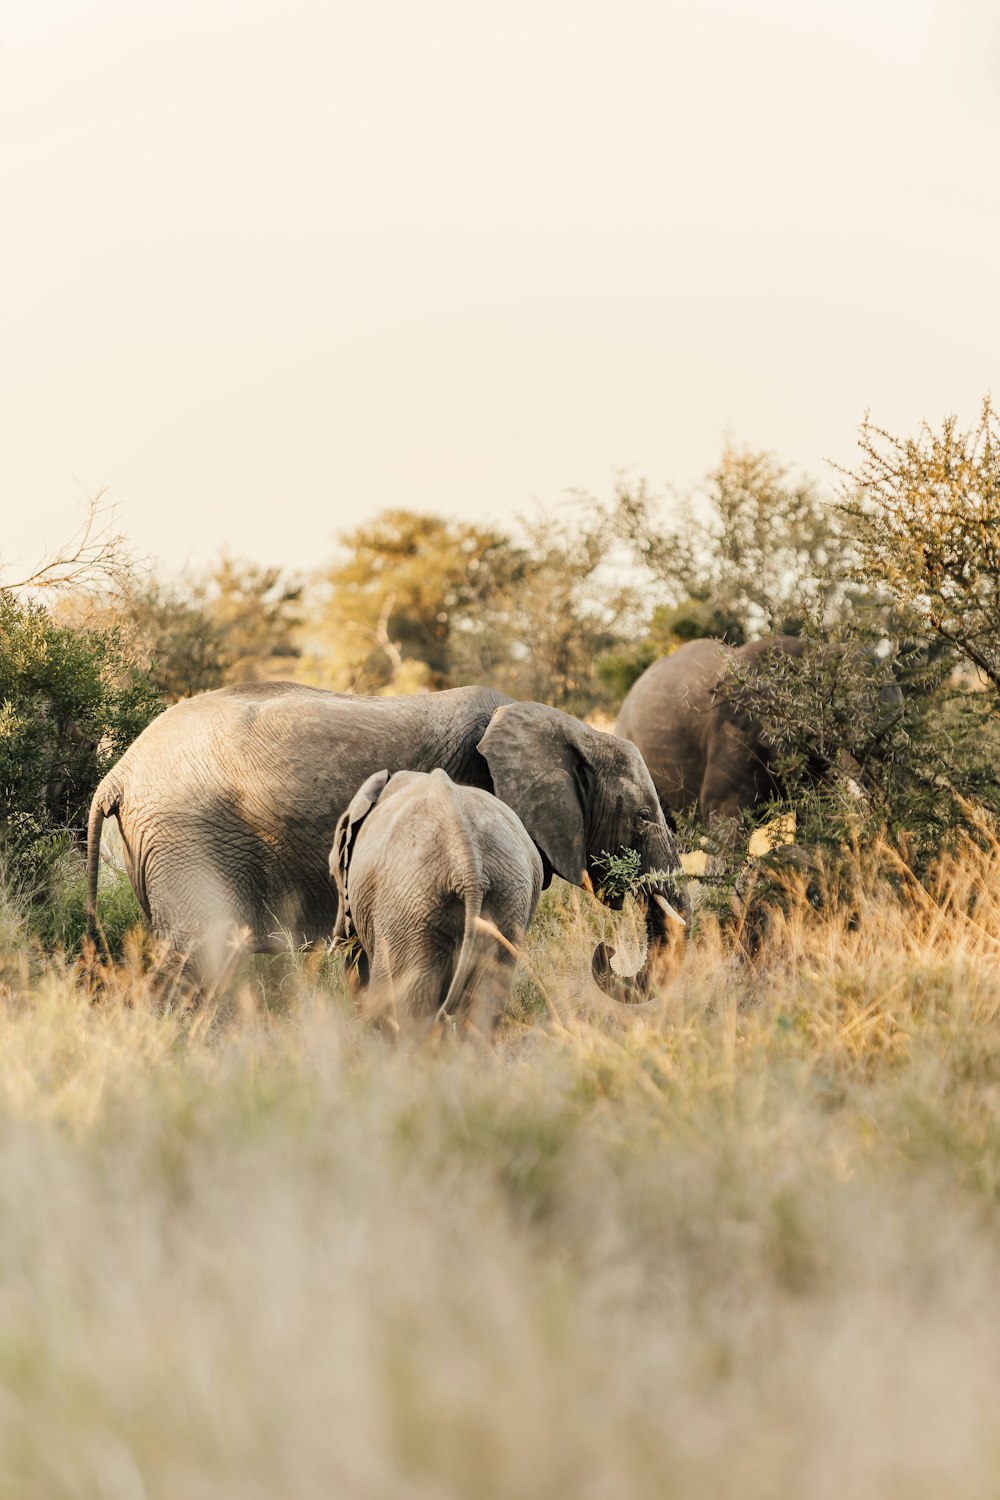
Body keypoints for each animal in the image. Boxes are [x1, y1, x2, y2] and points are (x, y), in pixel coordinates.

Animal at [88, 681, 689, 984]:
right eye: (642, 817)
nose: (606, 954)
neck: (562, 724)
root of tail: (119, 772)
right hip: (185, 834)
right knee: (199, 950)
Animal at [329, 768, 548, 1038]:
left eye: (333, 875)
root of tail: (467, 861)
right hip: (507, 898)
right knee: (483, 1003)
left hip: (410, 905)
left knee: (413, 1007)